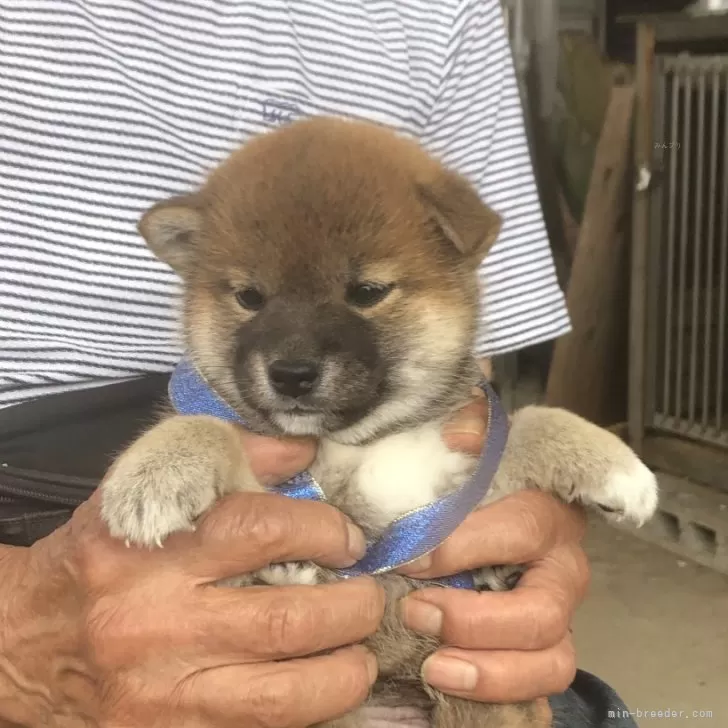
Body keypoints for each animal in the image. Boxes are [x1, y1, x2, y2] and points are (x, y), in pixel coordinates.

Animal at [102, 119, 660, 728]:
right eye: (250, 297)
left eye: (367, 292)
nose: (290, 374)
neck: (363, 442)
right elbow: (208, 427)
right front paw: (152, 476)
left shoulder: (456, 492)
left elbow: (533, 420)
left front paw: (617, 469)